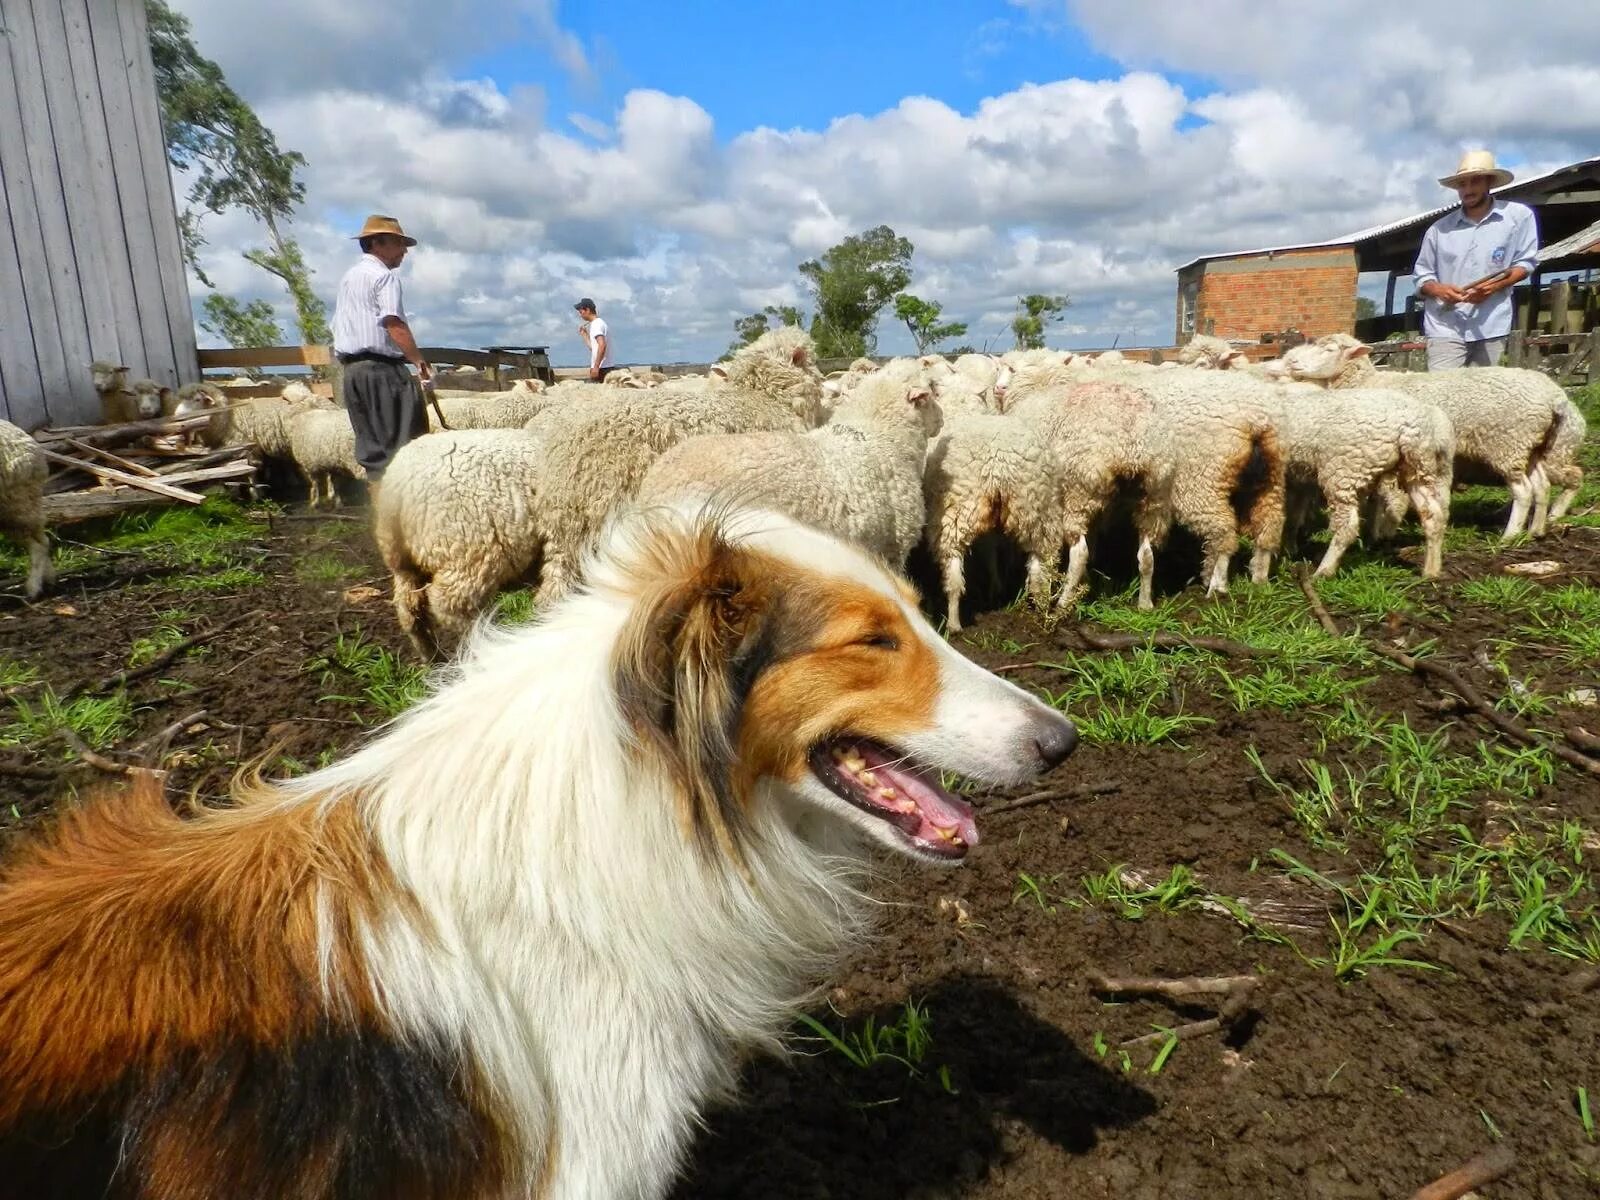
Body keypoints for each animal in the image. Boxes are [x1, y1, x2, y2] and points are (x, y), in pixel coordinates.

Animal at [376, 428, 547, 662]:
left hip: (405, 564)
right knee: (449, 607)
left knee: (408, 609)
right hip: (469, 556)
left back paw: (431, 656)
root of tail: (397, 483)